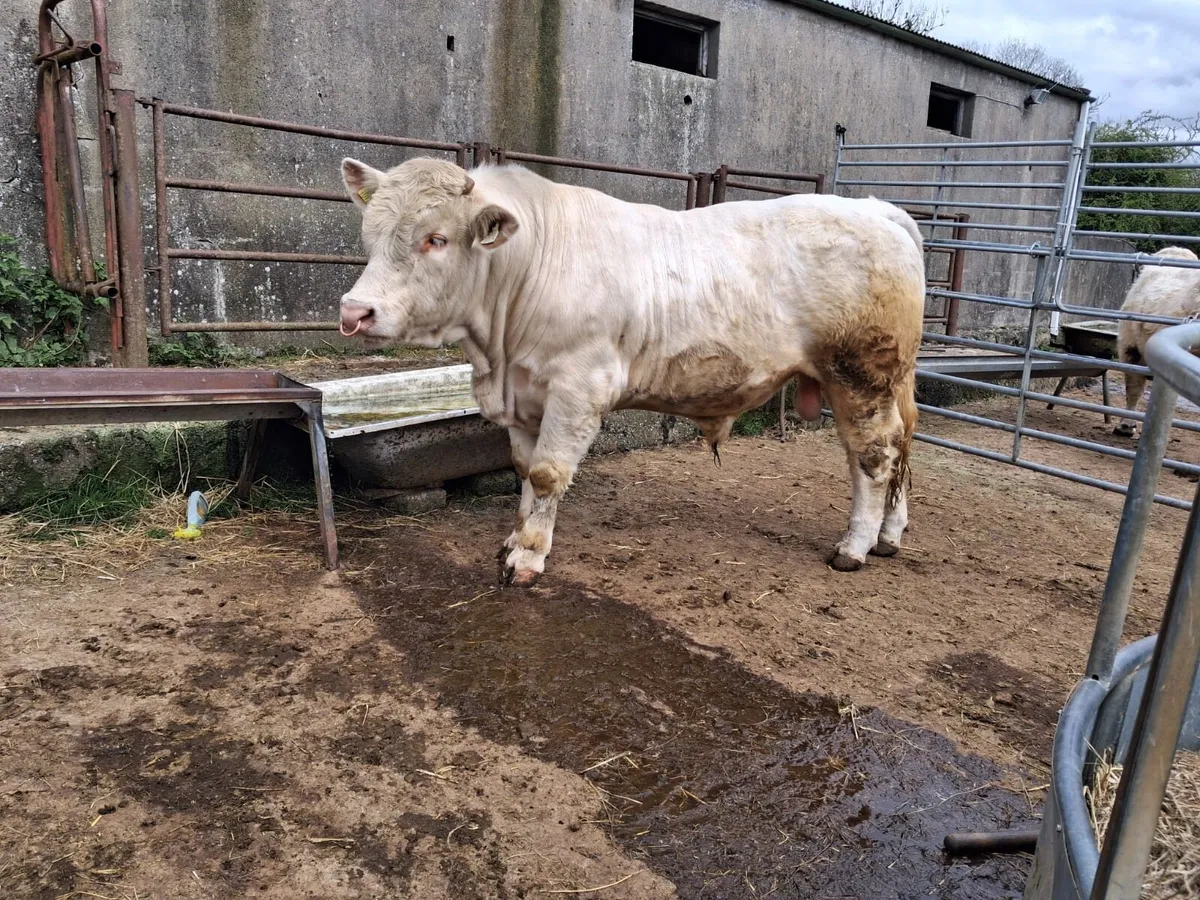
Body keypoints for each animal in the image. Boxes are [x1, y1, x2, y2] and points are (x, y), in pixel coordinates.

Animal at [337, 157, 925, 585]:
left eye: (435, 239)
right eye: (370, 234)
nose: (354, 311)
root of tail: (874, 210)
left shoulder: (578, 387)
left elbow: (548, 473)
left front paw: (528, 557)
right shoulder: (525, 395)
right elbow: (526, 469)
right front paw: (516, 537)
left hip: (860, 376)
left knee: (874, 455)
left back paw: (853, 547)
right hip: (878, 380)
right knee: (894, 448)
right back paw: (888, 535)